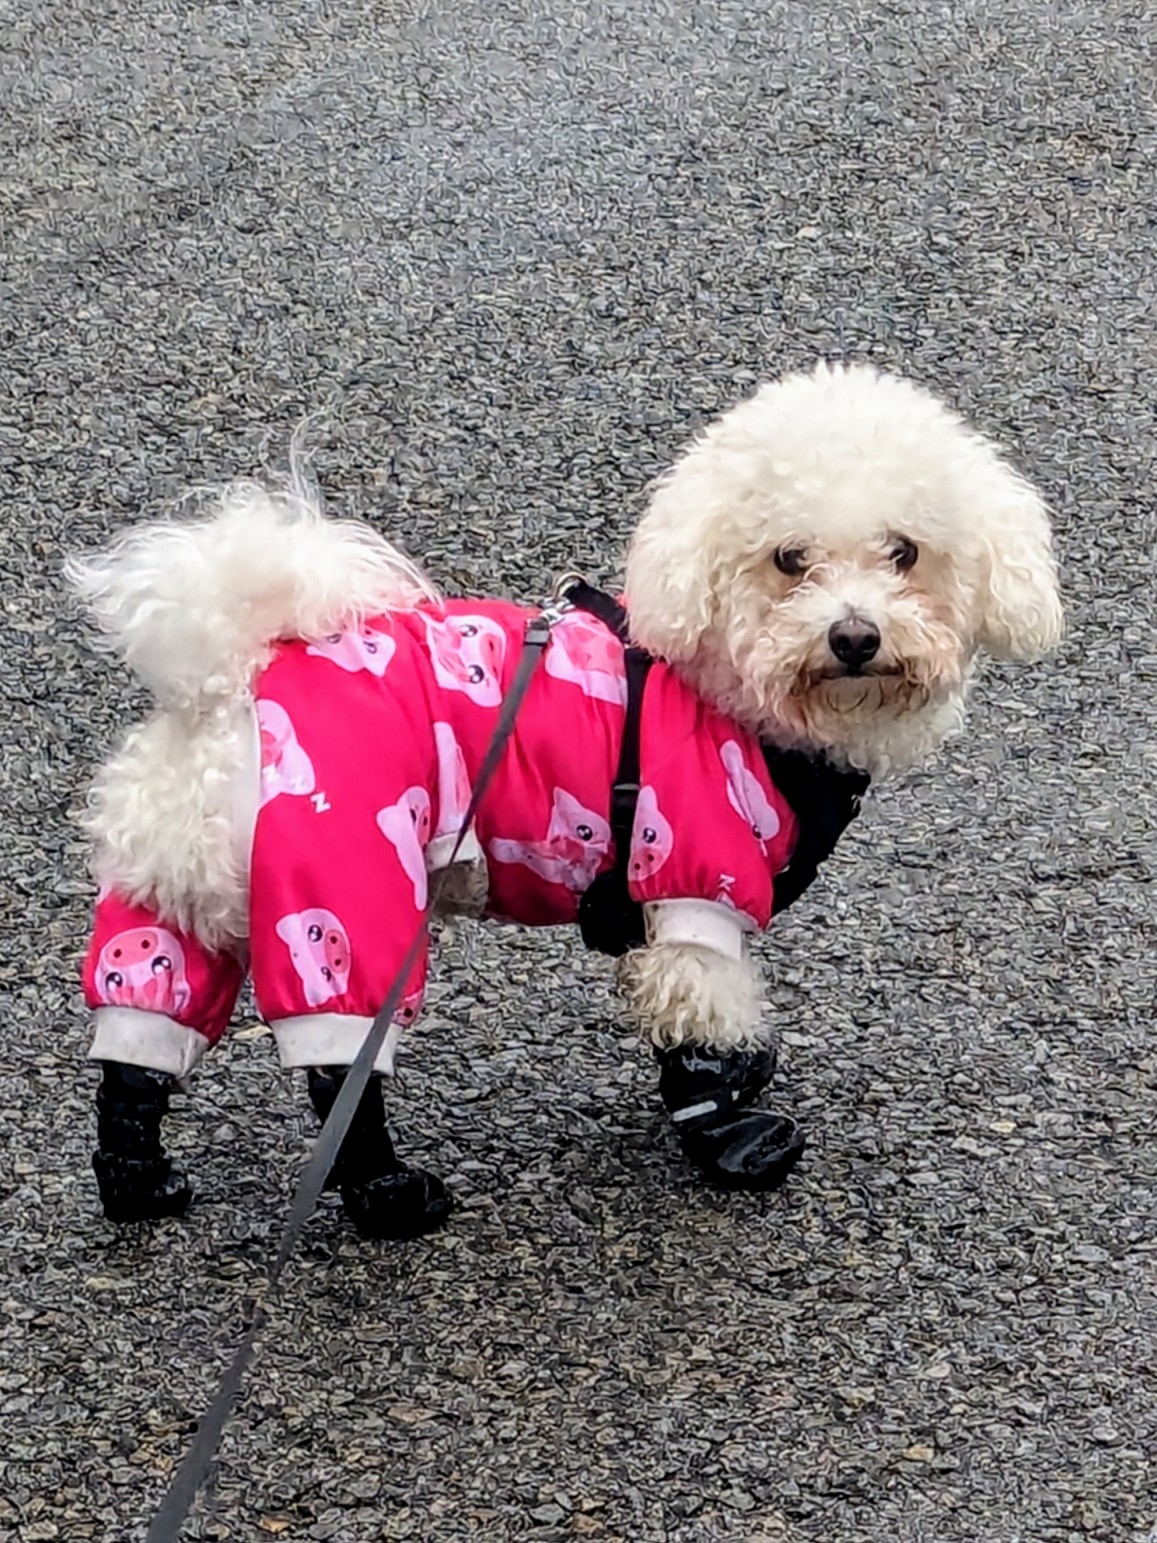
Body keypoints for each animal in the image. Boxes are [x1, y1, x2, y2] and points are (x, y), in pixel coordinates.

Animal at [67, 362, 1062, 1236]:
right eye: (789, 560)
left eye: (904, 552)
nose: (853, 636)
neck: (741, 700)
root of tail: (234, 682)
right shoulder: (693, 873)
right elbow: (698, 1024)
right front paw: (734, 1133)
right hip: (341, 891)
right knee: (340, 1071)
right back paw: (391, 1198)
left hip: (176, 897)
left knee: (137, 1048)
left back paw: (139, 1182)